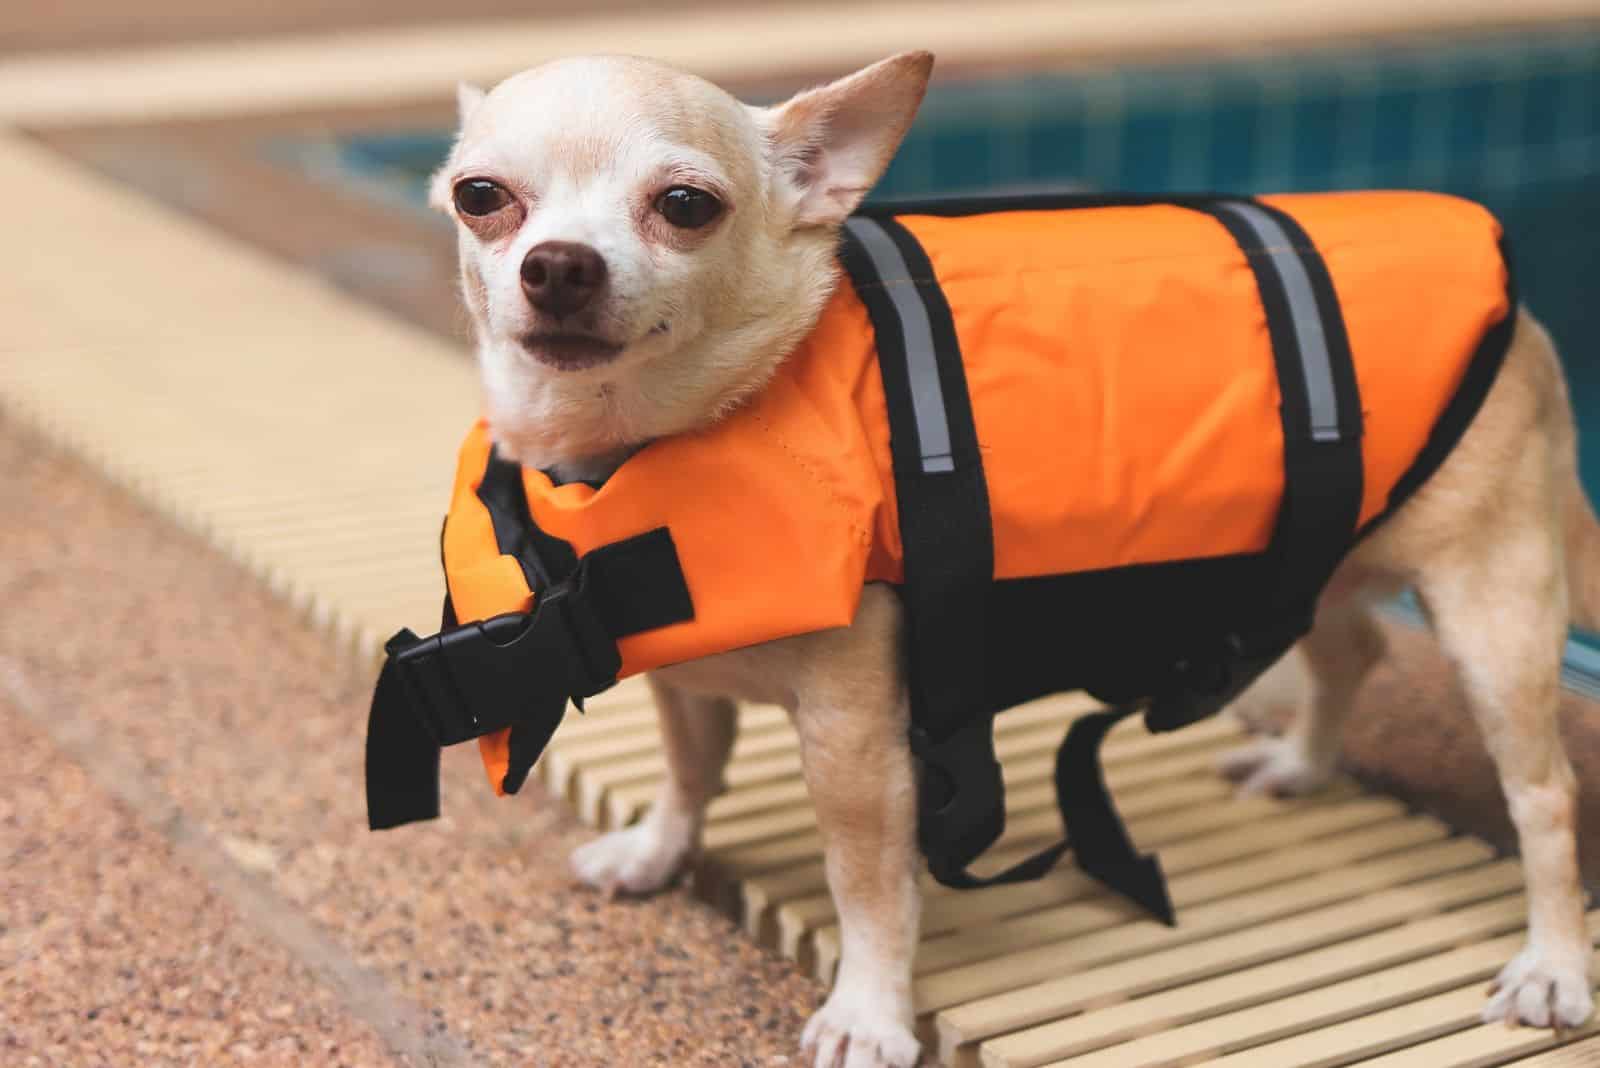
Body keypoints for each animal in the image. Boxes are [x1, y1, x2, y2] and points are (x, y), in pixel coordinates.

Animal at [432, 51, 1593, 1068]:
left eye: (685, 206)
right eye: (479, 197)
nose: (558, 265)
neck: (641, 448)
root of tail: (1528, 321)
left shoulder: (857, 743)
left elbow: (867, 884)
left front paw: (868, 1011)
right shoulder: (682, 675)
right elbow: (686, 770)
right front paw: (658, 850)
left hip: (1491, 613)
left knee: (1543, 797)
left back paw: (1550, 964)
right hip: (1332, 552)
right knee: (1354, 649)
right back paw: (1302, 763)